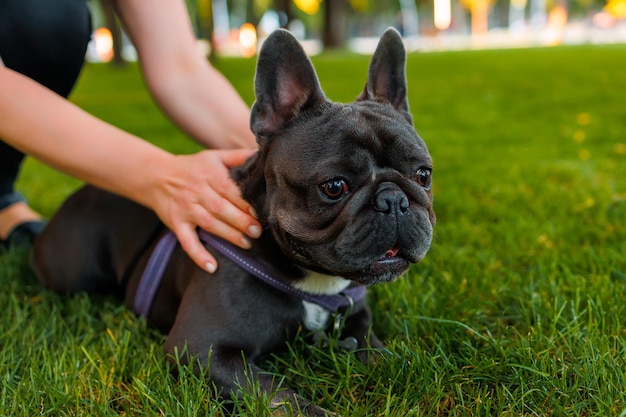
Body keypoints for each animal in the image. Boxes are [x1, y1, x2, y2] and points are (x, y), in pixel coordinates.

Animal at [31, 27, 434, 414]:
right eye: (334, 186)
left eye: (424, 175)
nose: (394, 200)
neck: (314, 284)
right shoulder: (201, 347)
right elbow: (276, 397)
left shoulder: (356, 322)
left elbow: (380, 355)